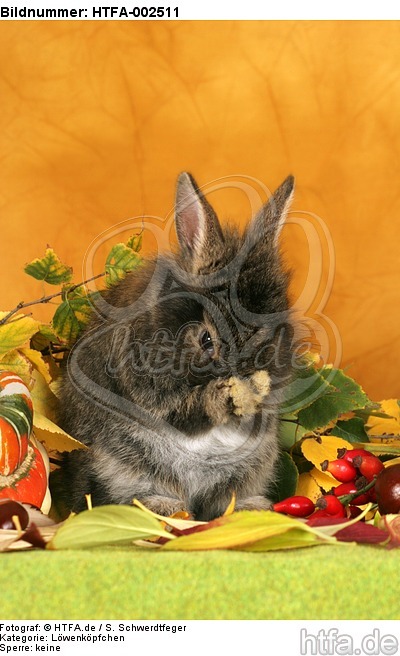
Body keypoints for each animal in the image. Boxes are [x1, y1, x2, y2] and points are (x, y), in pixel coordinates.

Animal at [57, 172, 295, 521]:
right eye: (206, 339)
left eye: (268, 338)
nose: (245, 377)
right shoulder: (148, 390)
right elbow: (182, 412)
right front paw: (220, 397)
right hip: (121, 466)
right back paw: (165, 508)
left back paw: (250, 507)